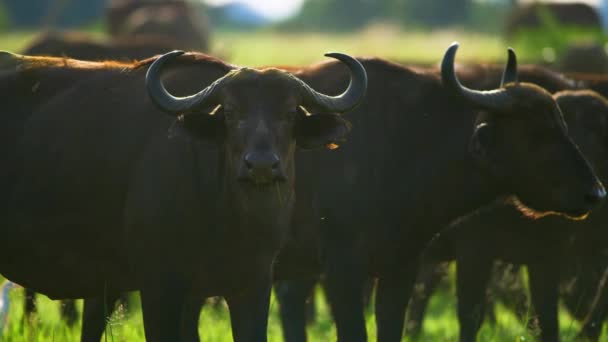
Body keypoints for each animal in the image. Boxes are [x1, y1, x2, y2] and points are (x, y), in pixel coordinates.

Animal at [0, 49, 366, 340]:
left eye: (289, 113)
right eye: (230, 112)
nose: (261, 164)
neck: (230, 219)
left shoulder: (252, 287)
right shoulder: (159, 286)